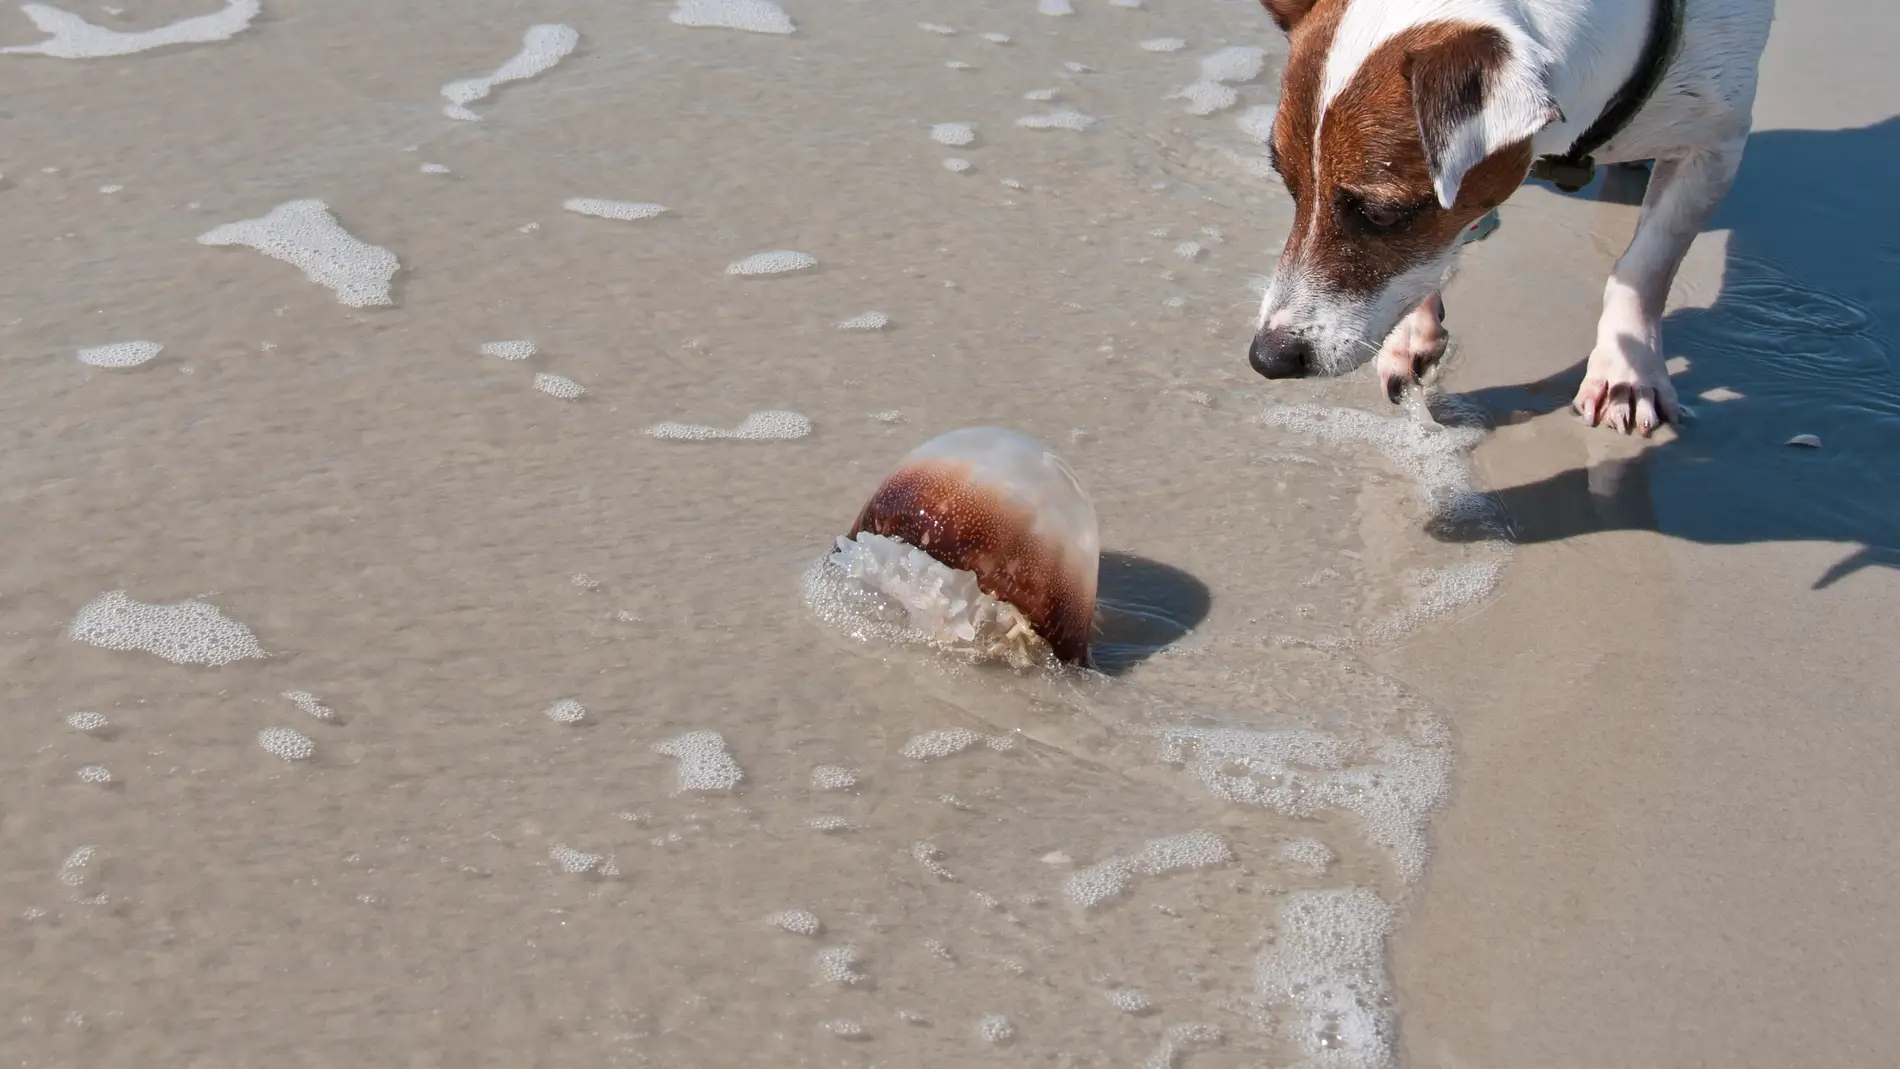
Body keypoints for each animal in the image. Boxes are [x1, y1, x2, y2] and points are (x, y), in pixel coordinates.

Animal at [1254, 1, 1770, 434]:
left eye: (1381, 215)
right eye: (1291, 189)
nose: (1266, 358)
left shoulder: (1714, 149)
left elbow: (1647, 266)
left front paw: (1627, 368)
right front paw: (1410, 328)